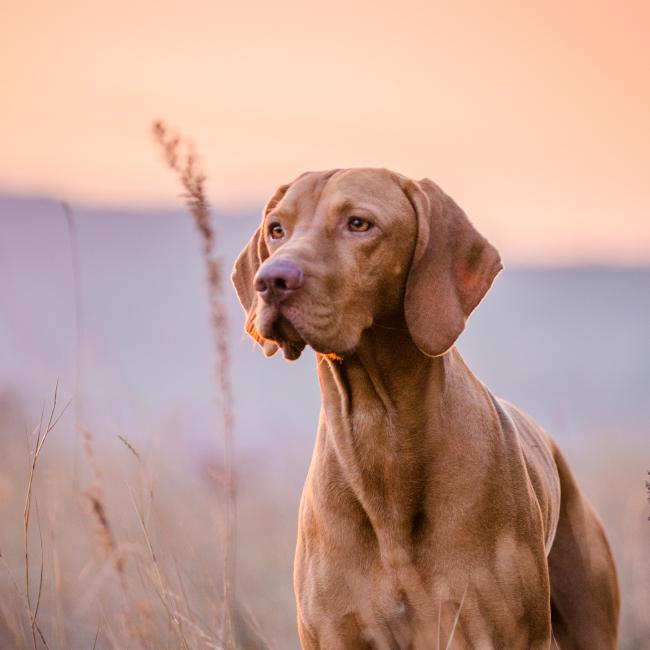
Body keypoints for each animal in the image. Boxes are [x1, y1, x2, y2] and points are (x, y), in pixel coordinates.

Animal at [232, 170, 616, 644]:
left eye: (358, 224)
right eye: (276, 229)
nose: (270, 280)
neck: (381, 431)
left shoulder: (507, 633)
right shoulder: (334, 632)